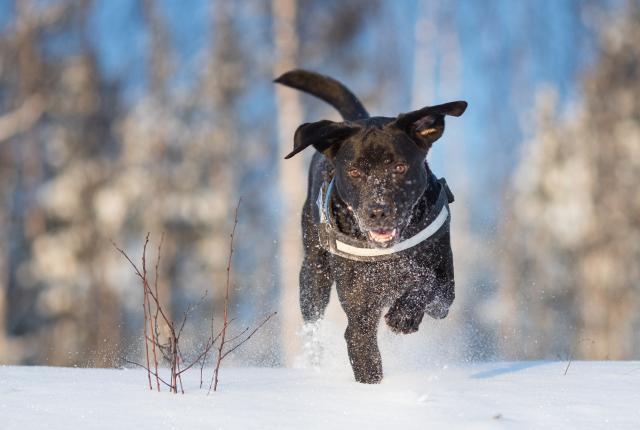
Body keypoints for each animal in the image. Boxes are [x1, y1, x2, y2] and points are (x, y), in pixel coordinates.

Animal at [276, 70, 464, 382]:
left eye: (399, 167)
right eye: (353, 171)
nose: (377, 212)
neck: (388, 253)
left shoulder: (445, 291)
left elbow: (424, 280)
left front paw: (404, 315)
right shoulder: (359, 319)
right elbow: (367, 361)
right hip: (313, 276)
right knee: (313, 322)